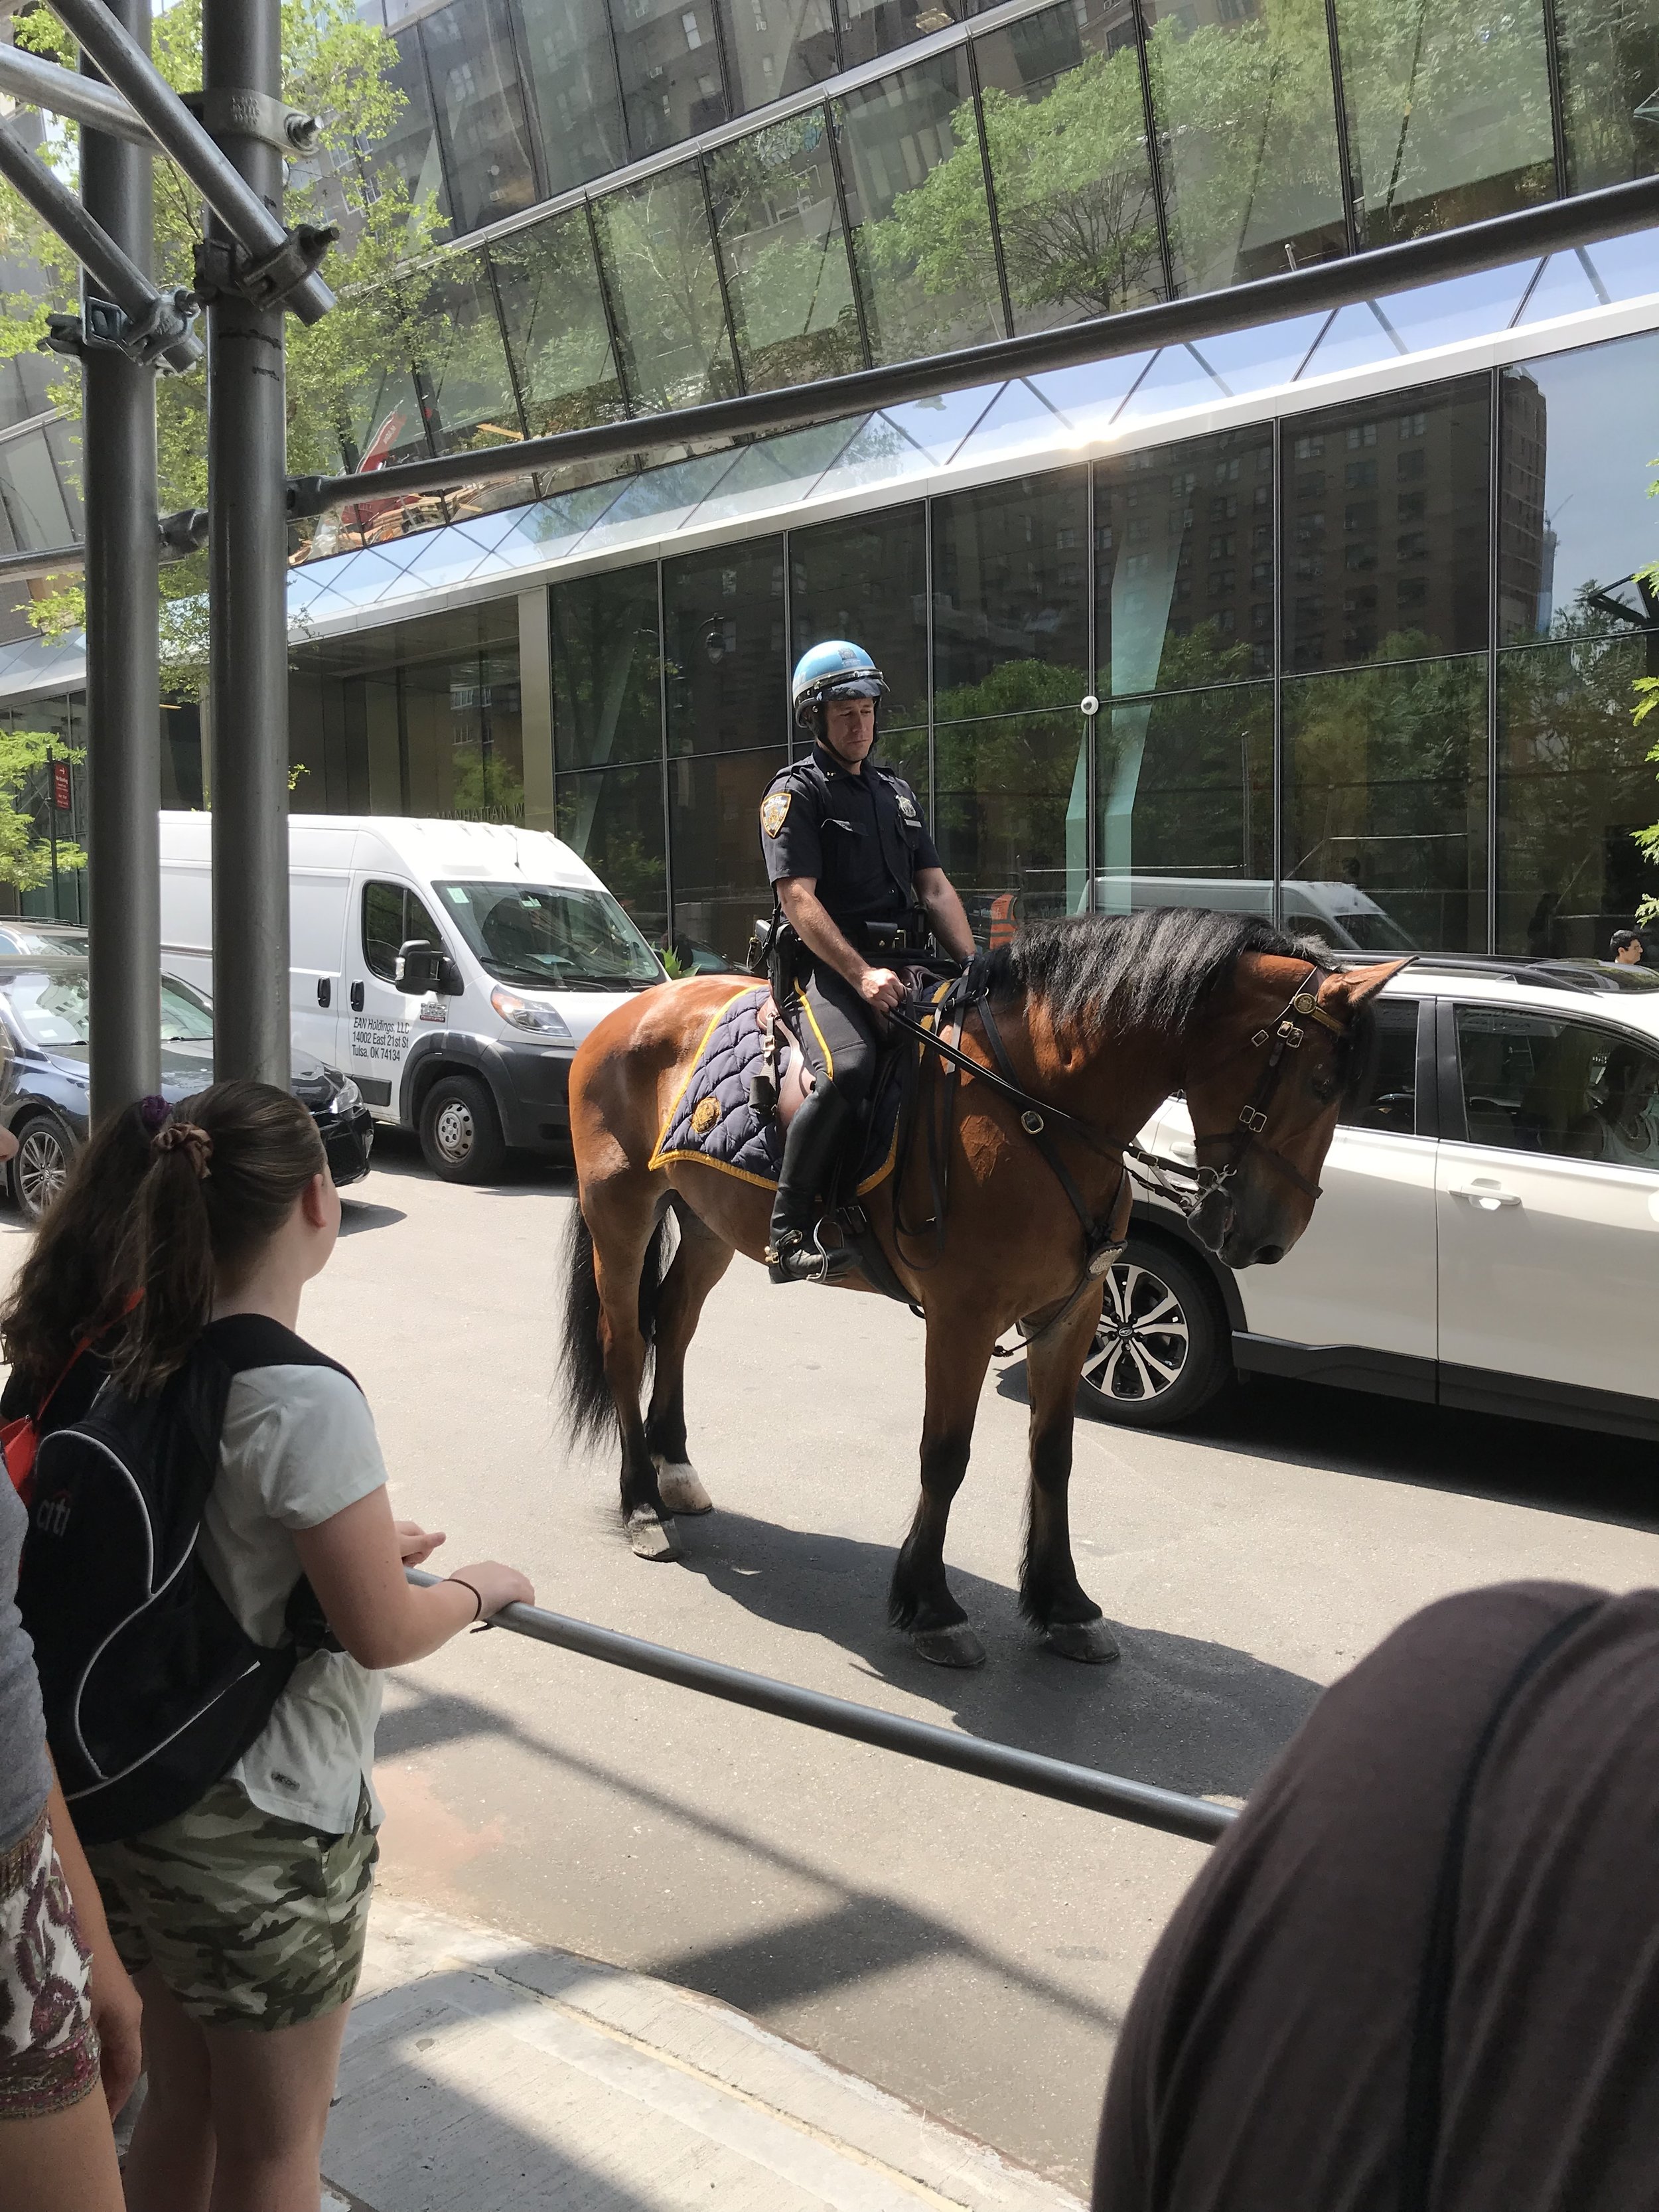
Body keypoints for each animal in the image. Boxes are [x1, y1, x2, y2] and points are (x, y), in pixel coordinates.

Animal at [566, 907, 1407, 1663]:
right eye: (1321, 1082)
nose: (1267, 1239)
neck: (1040, 1106)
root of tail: (638, 1006)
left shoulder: (1074, 1311)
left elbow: (1053, 1454)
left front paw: (1062, 1603)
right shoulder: (963, 1318)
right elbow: (945, 1454)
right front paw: (930, 1606)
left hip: (709, 1221)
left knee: (674, 1323)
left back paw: (674, 1471)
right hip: (621, 1211)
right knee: (624, 1343)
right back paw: (641, 1505)